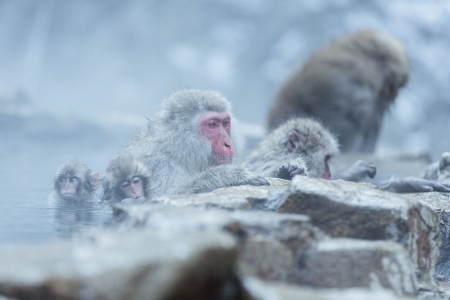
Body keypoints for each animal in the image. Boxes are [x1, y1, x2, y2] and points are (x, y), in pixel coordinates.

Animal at [123, 89, 268, 197]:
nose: (227, 143)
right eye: (212, 125)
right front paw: (231, 175)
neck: (176, 150)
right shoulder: (159, 164)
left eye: (225, 123)